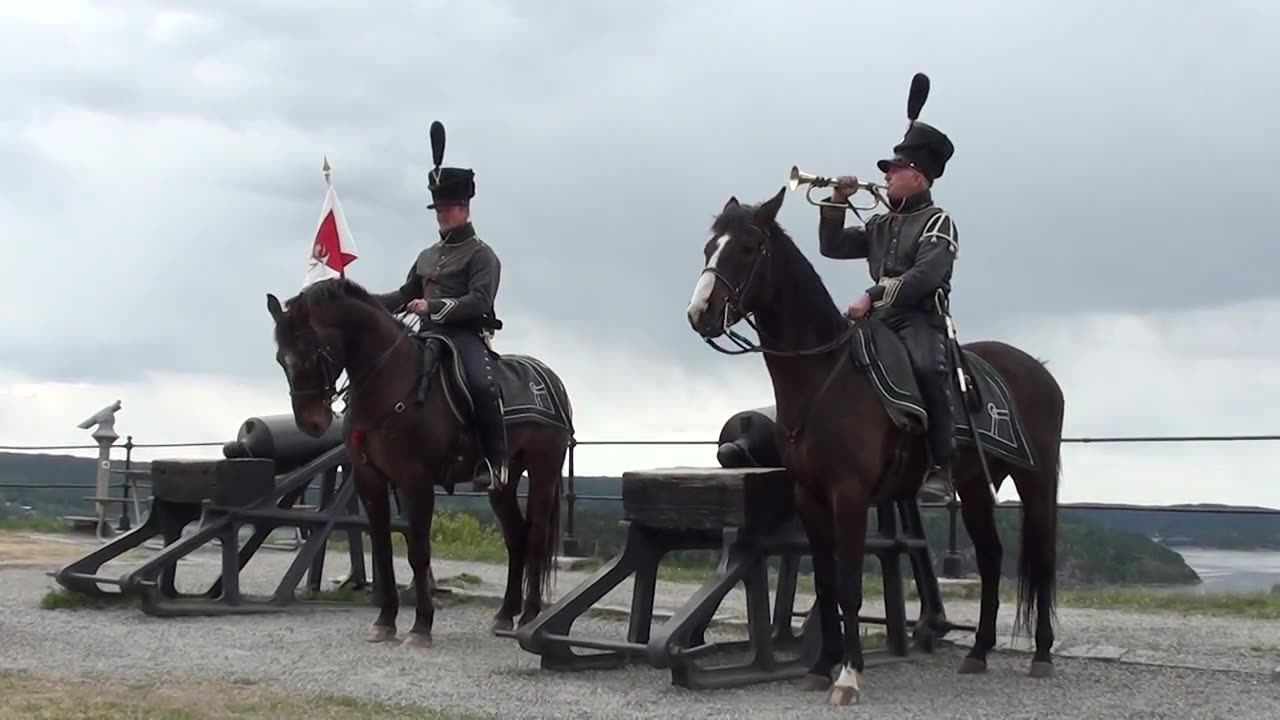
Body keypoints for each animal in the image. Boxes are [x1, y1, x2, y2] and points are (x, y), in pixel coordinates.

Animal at [267, 275, 573, 645]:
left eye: (313, 353)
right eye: (281, 359)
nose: (311, 423)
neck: (393, 383)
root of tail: (550, 380)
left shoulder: (417, 482)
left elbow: (419, 551)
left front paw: (421, 625)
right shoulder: (371, 480)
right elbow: (382, 551)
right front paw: (385, 620)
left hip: (544, 472)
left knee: (537, 538)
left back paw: (529, 616)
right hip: (503, 482)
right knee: (517, 537)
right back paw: (504, 615)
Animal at [686, 188, 1064, 702]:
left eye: (748, 248)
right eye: (710, 248)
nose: (699, 313)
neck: (824, 374)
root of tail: (1040, 369)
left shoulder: (850, 496)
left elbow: (848, 583)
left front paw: (848, 673)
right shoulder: (810, 497)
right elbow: (826, 583)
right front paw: (820, 666)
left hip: (1036, 481)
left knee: (1041, 560)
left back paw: (1042, 654)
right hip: (973, 488)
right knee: (990, 556)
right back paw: (978, 652)